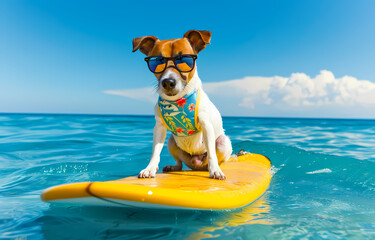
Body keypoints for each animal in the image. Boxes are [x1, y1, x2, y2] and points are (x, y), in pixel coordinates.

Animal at [132, 30, 232, 179]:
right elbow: (155, 151)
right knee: (179, 163)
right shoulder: (159, 127)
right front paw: (150, 168)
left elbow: (211, 154)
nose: (168, 82)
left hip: (223, 142)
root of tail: (196, 164)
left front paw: (215, 170)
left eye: (184, 60)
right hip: (171, 142)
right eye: (158, 61)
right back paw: (173, 167)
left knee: (215, 157)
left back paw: (213, 167)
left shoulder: (206, 125)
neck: (178, 100)